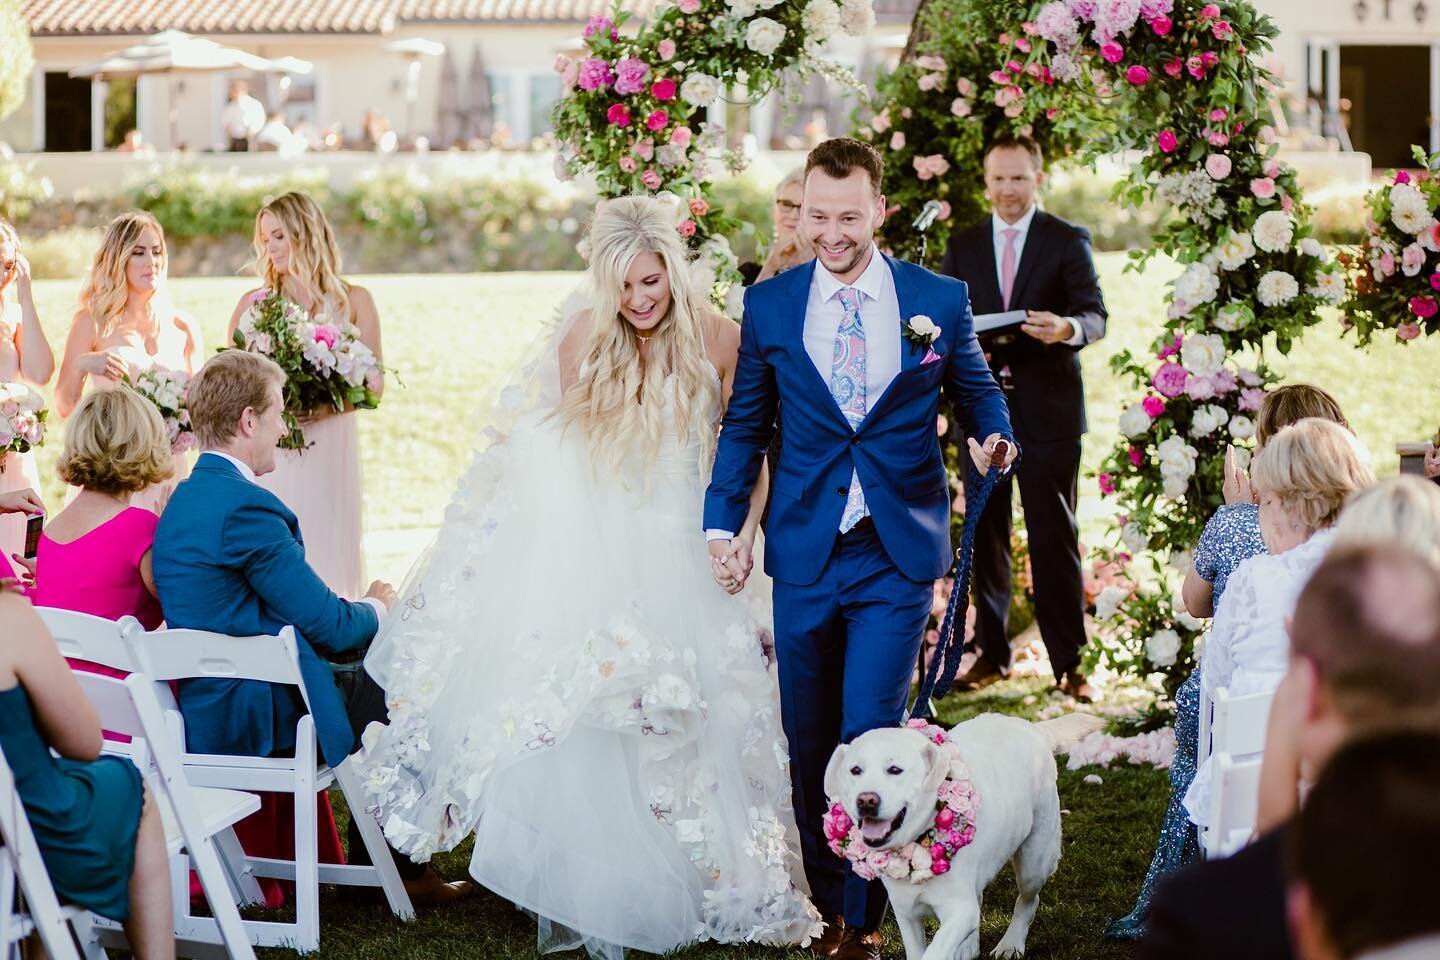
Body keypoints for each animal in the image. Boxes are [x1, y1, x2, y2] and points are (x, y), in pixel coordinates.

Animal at [829, 713, 1094, 960]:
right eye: (855, 770)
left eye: (895, 770)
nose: (866, 800)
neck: (917, 846)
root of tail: (1031, 726)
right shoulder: (906, 914)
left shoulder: (960, 912)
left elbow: (936, 951)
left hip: (1034, 863)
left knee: (1028, 901)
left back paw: (1011, 944)